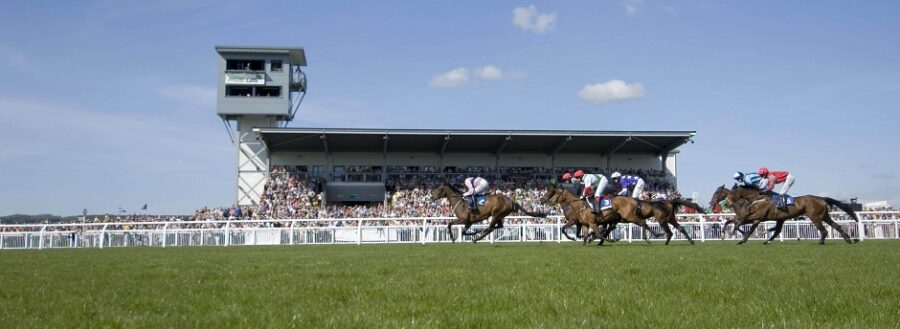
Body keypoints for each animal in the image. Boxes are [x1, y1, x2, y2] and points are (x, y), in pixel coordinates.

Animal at [712, 184, 856, 243]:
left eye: (717, 193)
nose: (711, 203)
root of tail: (822, 198)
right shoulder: (754, 218)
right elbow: (731, 221)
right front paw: (732, 235)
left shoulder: (757, 217)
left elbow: (740, 223)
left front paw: (733, 234)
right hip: (824, 215)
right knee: (836, 226)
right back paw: (848, 239)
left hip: (815, 217)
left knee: (824, 230)